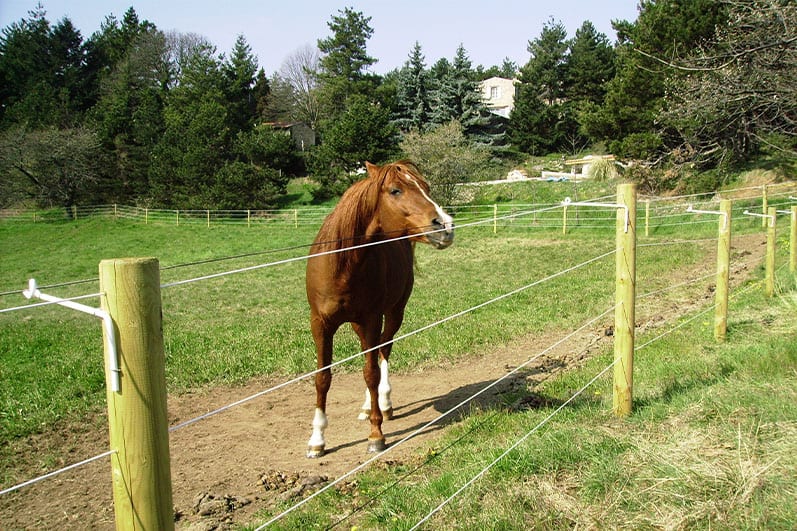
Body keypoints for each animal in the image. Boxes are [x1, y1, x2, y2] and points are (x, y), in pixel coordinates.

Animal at [305, 160, 454, 458]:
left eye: (426, 186)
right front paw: (317, 439)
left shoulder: (372, 319)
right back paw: (367, 407)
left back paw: (383, 405)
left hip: (394, 312)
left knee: (384, 350)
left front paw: (376, 434)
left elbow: (371, 373)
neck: (341, 264)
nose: (445, 225)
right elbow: (322, 378)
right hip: (357, 324)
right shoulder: (321, 324)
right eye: (395, 190)